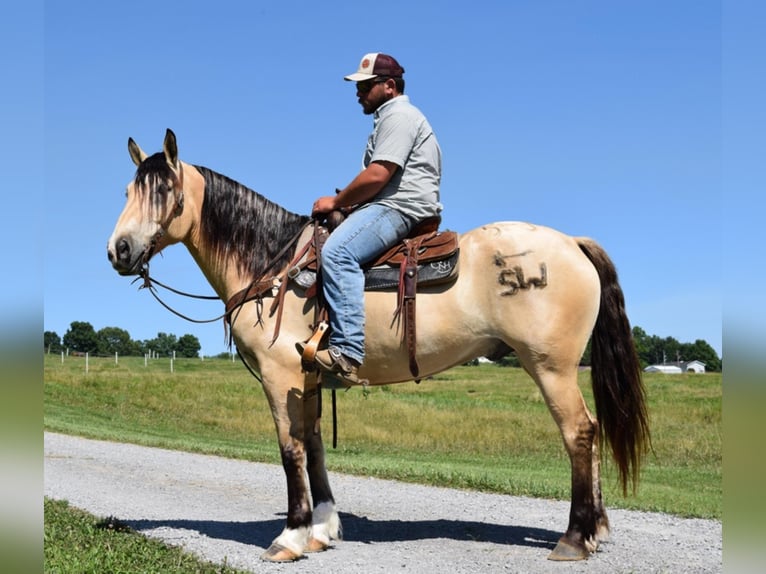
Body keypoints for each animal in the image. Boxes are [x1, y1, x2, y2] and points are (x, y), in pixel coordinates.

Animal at [106, 129, 648, 564]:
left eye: (164, 192)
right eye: (129, 190)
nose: (119, 251)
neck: (271, 263)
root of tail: (572, 243)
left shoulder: (281, 375)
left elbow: (290, 449)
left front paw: (290, 536)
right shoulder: (308, 378)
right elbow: (315, 447)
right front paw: (322, 530)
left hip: (550, 366)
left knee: (579, 433)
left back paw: (574, 538)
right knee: (592, 431)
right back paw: (596, 530)